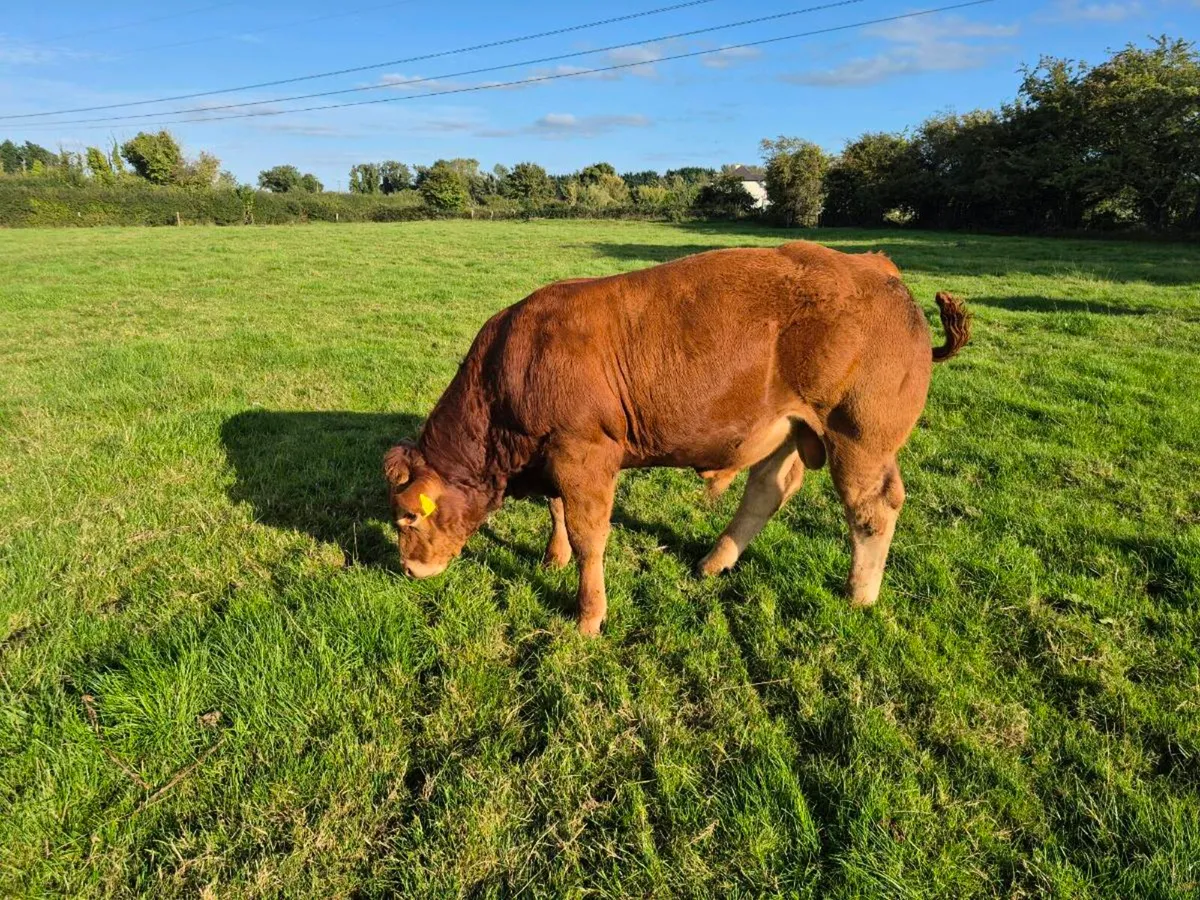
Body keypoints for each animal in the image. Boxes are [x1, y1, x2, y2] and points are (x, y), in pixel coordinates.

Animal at [383, 240, 969, 635]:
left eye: (408, 516)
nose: (409, 569)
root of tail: (875, 264)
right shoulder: (554, 454)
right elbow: (557, 510)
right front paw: (553, 559)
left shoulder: (584, 452)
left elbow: (589, 535)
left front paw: (588, 616)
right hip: (788, 427)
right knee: (768, 490)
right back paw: (714, 562)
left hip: (861, 437)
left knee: (873, 508)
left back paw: (859, 595)